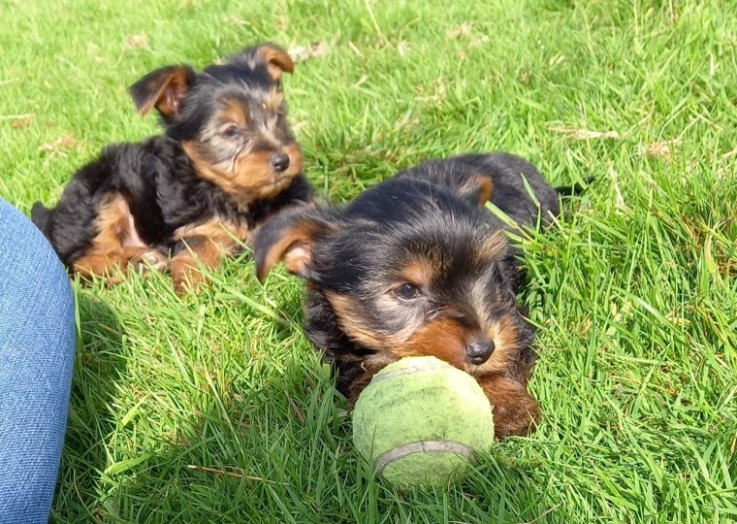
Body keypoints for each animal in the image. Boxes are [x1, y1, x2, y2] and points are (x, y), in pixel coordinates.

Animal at [30, 43, 308, 292]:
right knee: (79, 262)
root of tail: (52, 217)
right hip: (100, 199)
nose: (283, 160)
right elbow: (195, 254)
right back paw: (129, 266)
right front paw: (193, 290)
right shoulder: (196, 228)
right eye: (230, 131)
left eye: (278, 116)